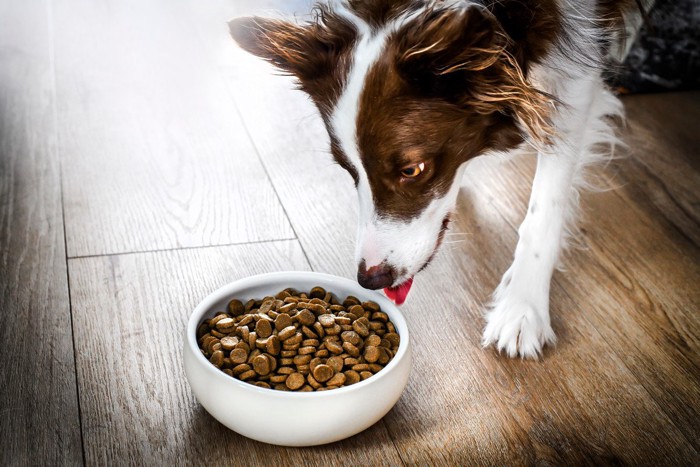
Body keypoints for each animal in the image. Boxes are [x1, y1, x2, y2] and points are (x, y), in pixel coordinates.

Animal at [231, 0, 640, 358]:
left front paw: (522, 306)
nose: (371, 281)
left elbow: (545, 206)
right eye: (348, 169)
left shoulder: (578, 70)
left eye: (412, 170)